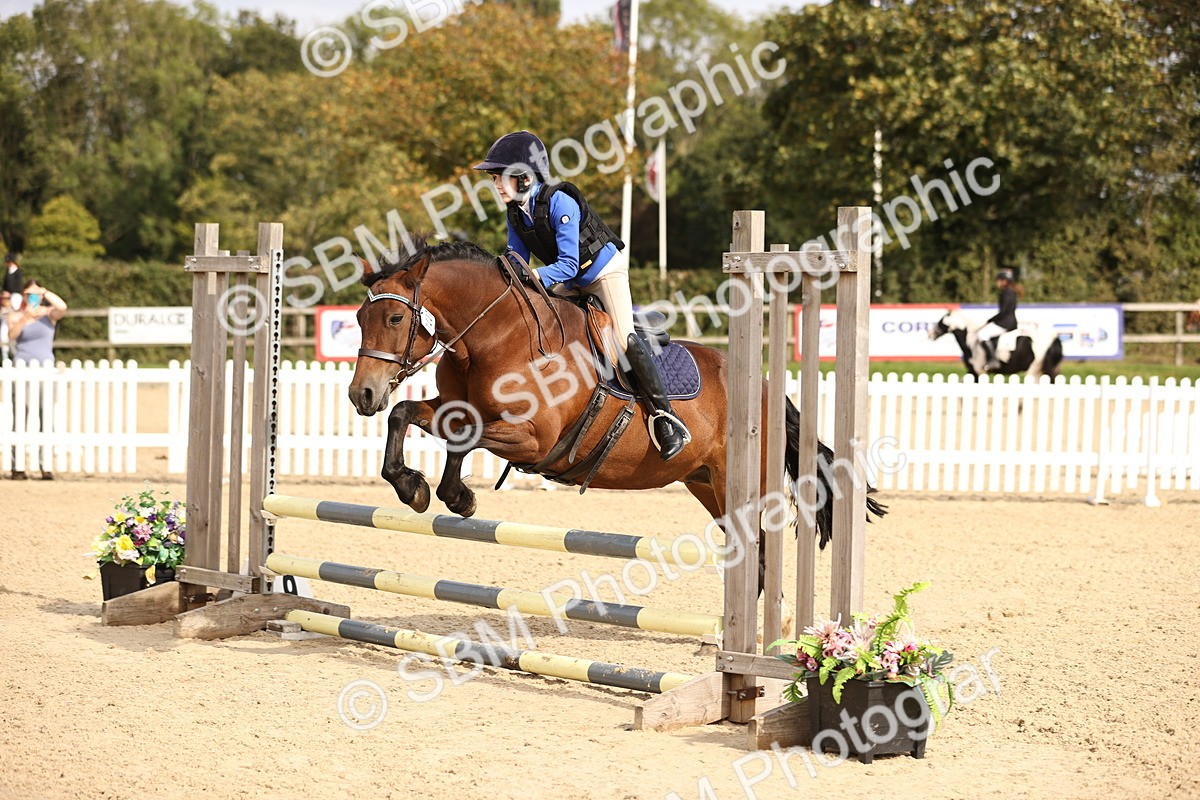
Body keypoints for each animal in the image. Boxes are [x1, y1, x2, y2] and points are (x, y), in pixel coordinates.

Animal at [347, 237, 886, 568]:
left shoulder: (532, 438)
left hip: (746, 485)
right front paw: (420, 489)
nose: (361, 394)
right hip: (706, 485)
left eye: (395, 318)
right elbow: (409, 415)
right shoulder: (460, 406)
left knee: (757, 553)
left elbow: (461, 434)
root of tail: (768, 387)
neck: (493, 334)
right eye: (357, 318)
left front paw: (443, 492)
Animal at [930, 310, 1064, 380]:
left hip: (1033, 369)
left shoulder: (979, 371)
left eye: (941, 322)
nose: (931, 334)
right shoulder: (972, 371)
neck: (971, 341)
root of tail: (1054, 338)